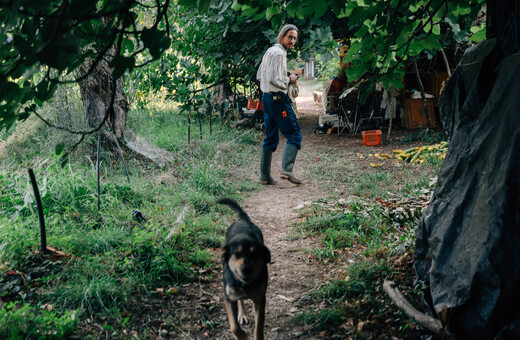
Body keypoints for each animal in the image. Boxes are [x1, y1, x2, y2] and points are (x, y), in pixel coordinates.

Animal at [217, 198, 272, 338]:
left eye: (255, 254)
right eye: (236, 254)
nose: (247, 269)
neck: (245, 285)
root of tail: (243, 219)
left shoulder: (260, 299)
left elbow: (259, 328)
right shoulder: (229, 298)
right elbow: (234, 327)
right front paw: (243, 336)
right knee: (240, 301)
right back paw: (242, 315)